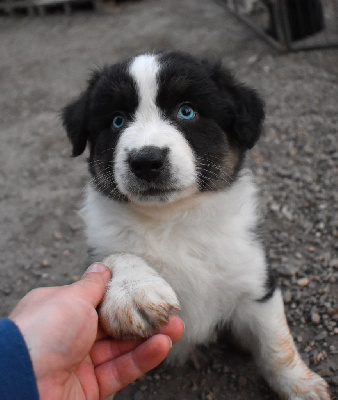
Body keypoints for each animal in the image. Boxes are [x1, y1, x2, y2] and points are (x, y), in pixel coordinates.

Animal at [62, 51, 330, 398]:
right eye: (117, 120)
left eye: (186, 111)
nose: (146, 161)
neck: (174, 220)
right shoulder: (102, 242)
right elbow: (115, 254)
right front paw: (132, 290)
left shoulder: (255, 280)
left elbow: (276, 345)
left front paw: (302, 385)